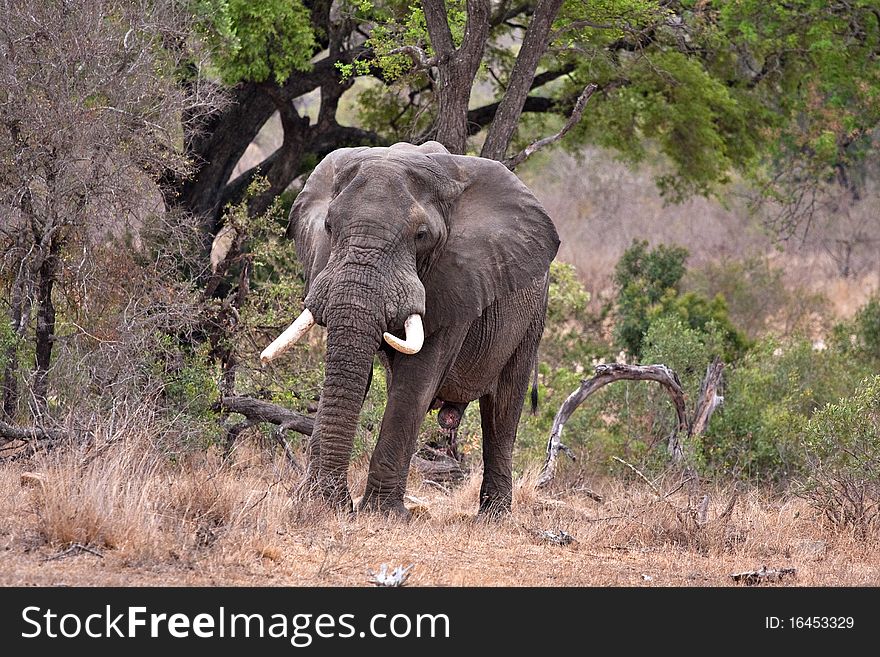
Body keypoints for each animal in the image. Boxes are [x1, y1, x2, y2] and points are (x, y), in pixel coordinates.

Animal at [260, 140, 556, 516]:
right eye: (328, 225)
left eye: (421, 235)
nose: (334, 501)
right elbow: (352, 370)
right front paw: (319, 504)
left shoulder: (458, 280)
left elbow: (416, 380)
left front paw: (381, 514)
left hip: (533, 315)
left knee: (502, 409)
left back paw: (493, 519)